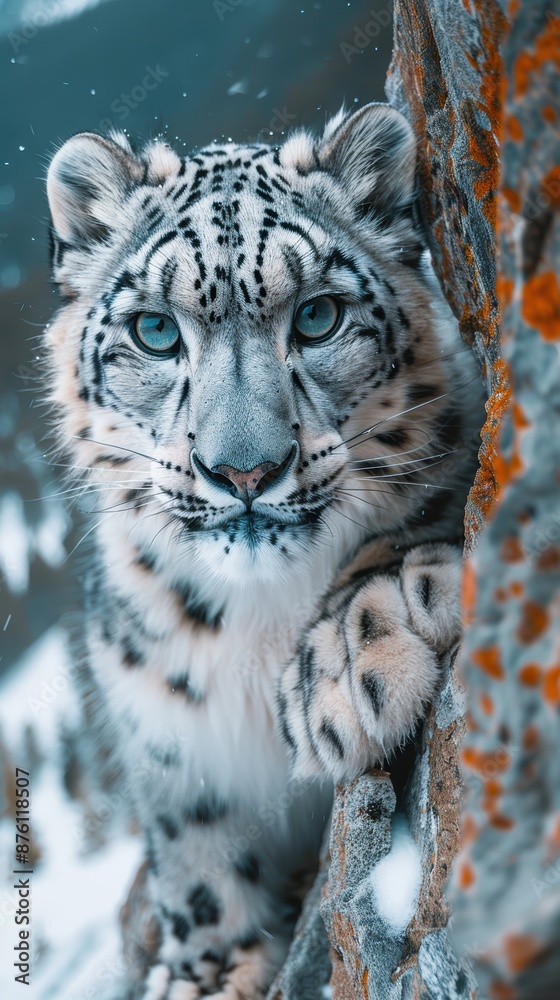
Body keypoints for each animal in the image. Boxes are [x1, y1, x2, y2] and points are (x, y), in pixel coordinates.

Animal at [44, 102, 481, 999]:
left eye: (316, 316)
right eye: (154, 330)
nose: (243, 468)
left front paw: (351, 661)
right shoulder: (171, 752)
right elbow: (197, 861)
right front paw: (207, 975)